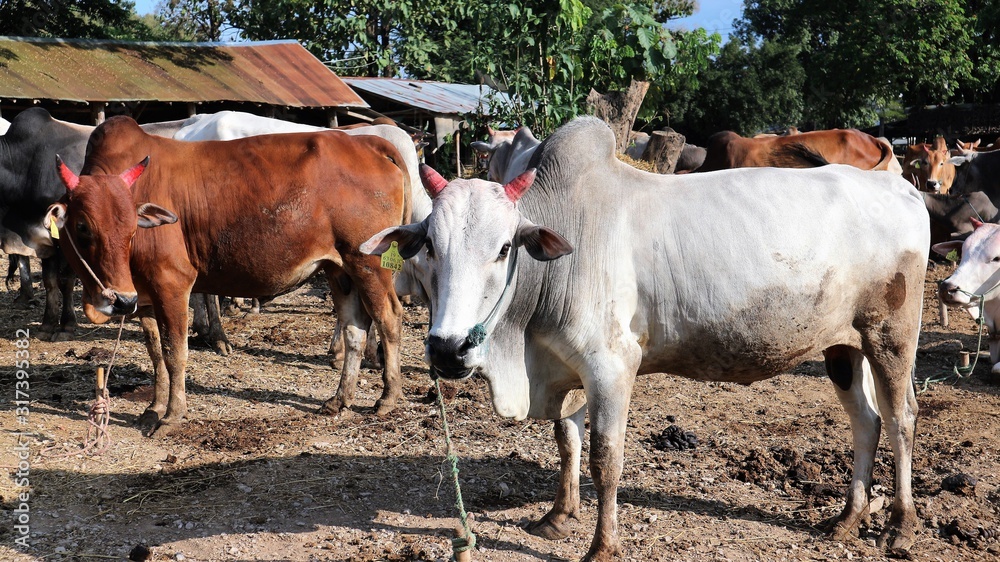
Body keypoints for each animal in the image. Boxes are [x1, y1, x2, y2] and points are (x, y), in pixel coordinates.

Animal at [47, 116, 406, 436]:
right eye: (82, 227)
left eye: (132, 227)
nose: (117, 299)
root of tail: (369, 143)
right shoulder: (143, 296)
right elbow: (156, 353)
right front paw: (153, 408)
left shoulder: (172, 284)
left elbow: (175, 353)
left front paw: (172, 416)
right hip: (339, 269)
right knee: (354, 328)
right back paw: (340, 399)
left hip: (367, 263)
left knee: (388, 318)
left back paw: (388, 397)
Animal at [362, 117, 928, 556]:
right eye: (429, 246)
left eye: (504, 249)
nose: (448, 348)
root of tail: (898, 186)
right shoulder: (566, 366)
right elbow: (567, 439)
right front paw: (558, 516)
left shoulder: (612, 367)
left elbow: (605, 458)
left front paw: (602, 546)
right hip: (842, 346)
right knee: (866, 421)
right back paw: (847, 519)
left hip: (891, 336)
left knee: (901, 418)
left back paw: (899, 527)